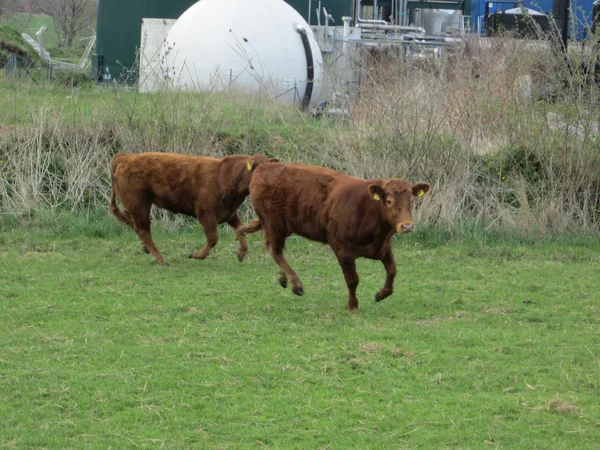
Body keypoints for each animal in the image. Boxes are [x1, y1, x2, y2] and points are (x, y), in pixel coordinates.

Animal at [110, 152, 278, 264]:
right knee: (143, 230)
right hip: (139, 204)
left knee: (134, 224)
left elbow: (240, 228)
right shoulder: (205, 212)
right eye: (257, 169)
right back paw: (161, 259)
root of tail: (126, 157)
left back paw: (147, 249)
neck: (225, 177)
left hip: (134, 206)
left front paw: (242, 252)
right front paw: (197, 255)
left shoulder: (229, 212)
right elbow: (213, 238)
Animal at [241, 163, 428, 312]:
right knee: (275, 250)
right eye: (389, 201)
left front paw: (381, 294)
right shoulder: (342, 250)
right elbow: (352, 279)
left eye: (411, 200)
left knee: (272, 248)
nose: (407, 226)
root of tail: (265, 166)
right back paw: (296, 284)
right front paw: (352, 306)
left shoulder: (383, 247)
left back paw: (283, 278)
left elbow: (392, 270)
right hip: (275, 224)